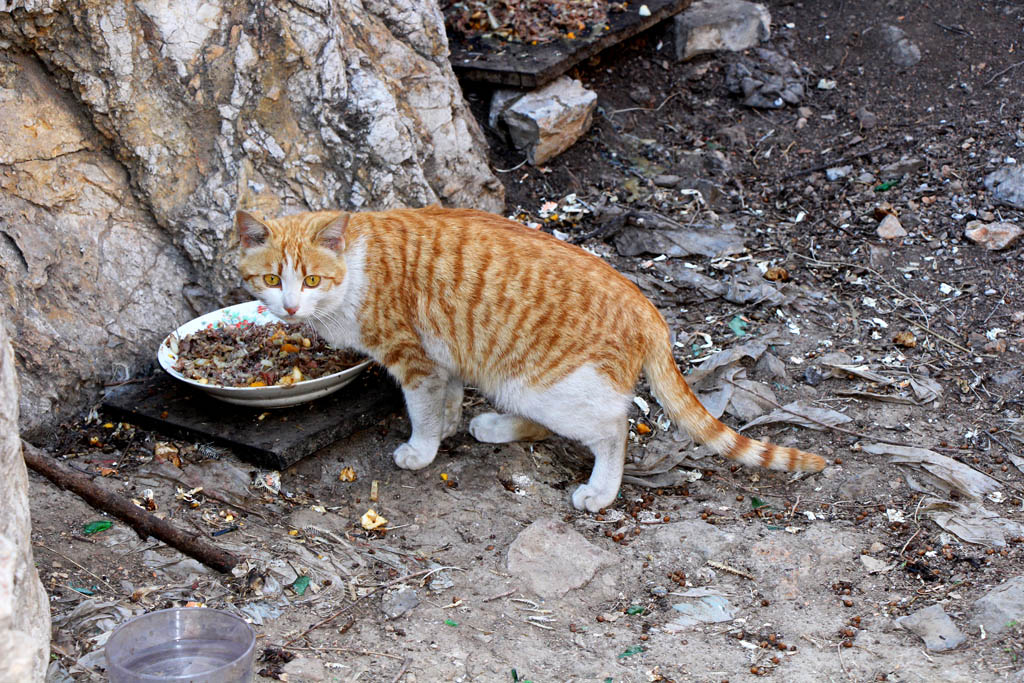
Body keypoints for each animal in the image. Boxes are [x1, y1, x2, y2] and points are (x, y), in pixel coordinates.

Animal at [234, 208, 823, 511]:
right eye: (272, 280)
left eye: (311, 279)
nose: (290, 306)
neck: (357, 266)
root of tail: (645, 305)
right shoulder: (447, 358)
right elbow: (448, 400)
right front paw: (449, 425)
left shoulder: (415, 360)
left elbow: (422, 411)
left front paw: (421, 449)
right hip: (519, 382)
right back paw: (492, 426)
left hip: (548, 386)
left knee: (613, 428)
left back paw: (600, 491)